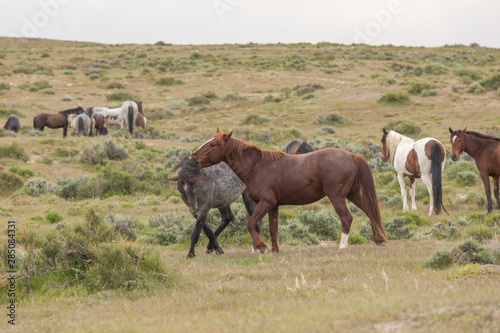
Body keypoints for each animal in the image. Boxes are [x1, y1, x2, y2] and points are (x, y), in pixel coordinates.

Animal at [189, 128, 388, 253]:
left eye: (213, 144)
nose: (193, 157)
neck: (257, 166)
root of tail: (352, 155)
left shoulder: (266, 202)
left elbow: (251, 223)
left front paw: (262, 247)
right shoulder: (274, 205)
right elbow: (273, 228)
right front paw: (275, 250)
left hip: (337, 196)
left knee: (347, 218)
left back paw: (342, 247)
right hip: (352, 194)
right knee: (370, 211)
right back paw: (379, 239)